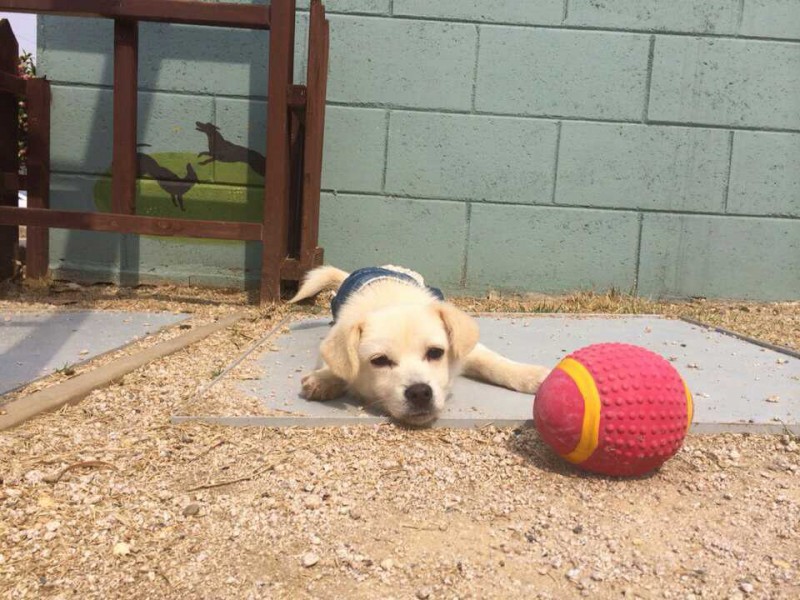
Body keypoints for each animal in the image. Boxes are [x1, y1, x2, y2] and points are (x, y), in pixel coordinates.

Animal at [289, 265, 551, 426]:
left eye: (435, 352)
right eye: (379, 361)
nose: (419, 393)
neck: (391, 300)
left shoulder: (467, 350)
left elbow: (494, 363)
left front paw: (531, 375)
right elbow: (332, 365)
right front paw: (324, 379)